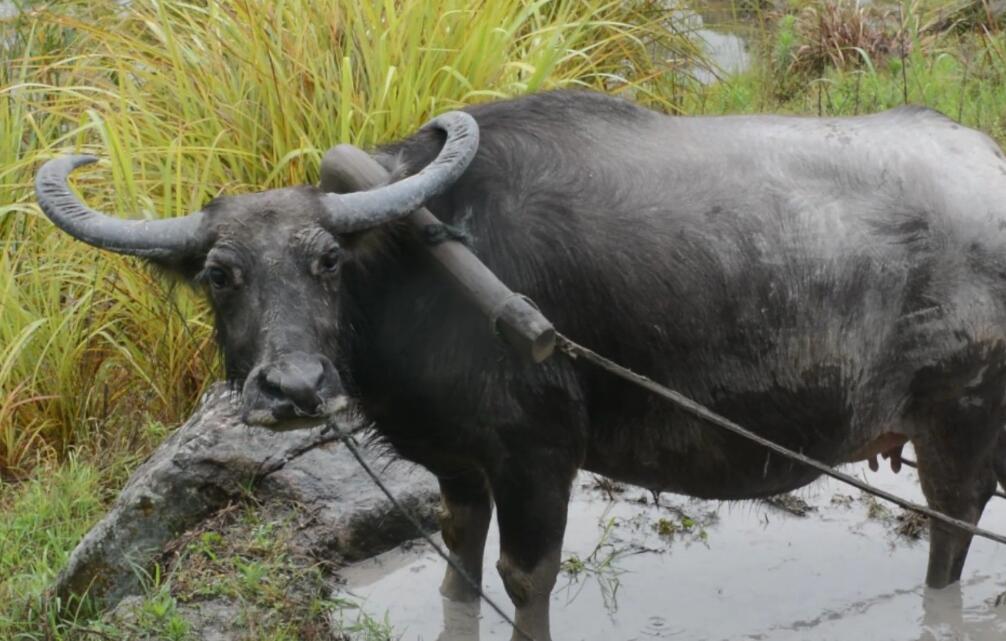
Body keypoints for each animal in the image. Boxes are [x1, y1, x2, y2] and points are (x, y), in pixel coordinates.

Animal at [35, 91, 1006, 639]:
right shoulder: (460, 469)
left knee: (952, 537)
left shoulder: (539, 458)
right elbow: (459, 569)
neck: (419, 271)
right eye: (219, 273)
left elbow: (523, 578)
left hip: (962, 425)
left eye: (329, 262)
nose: (295, 389)